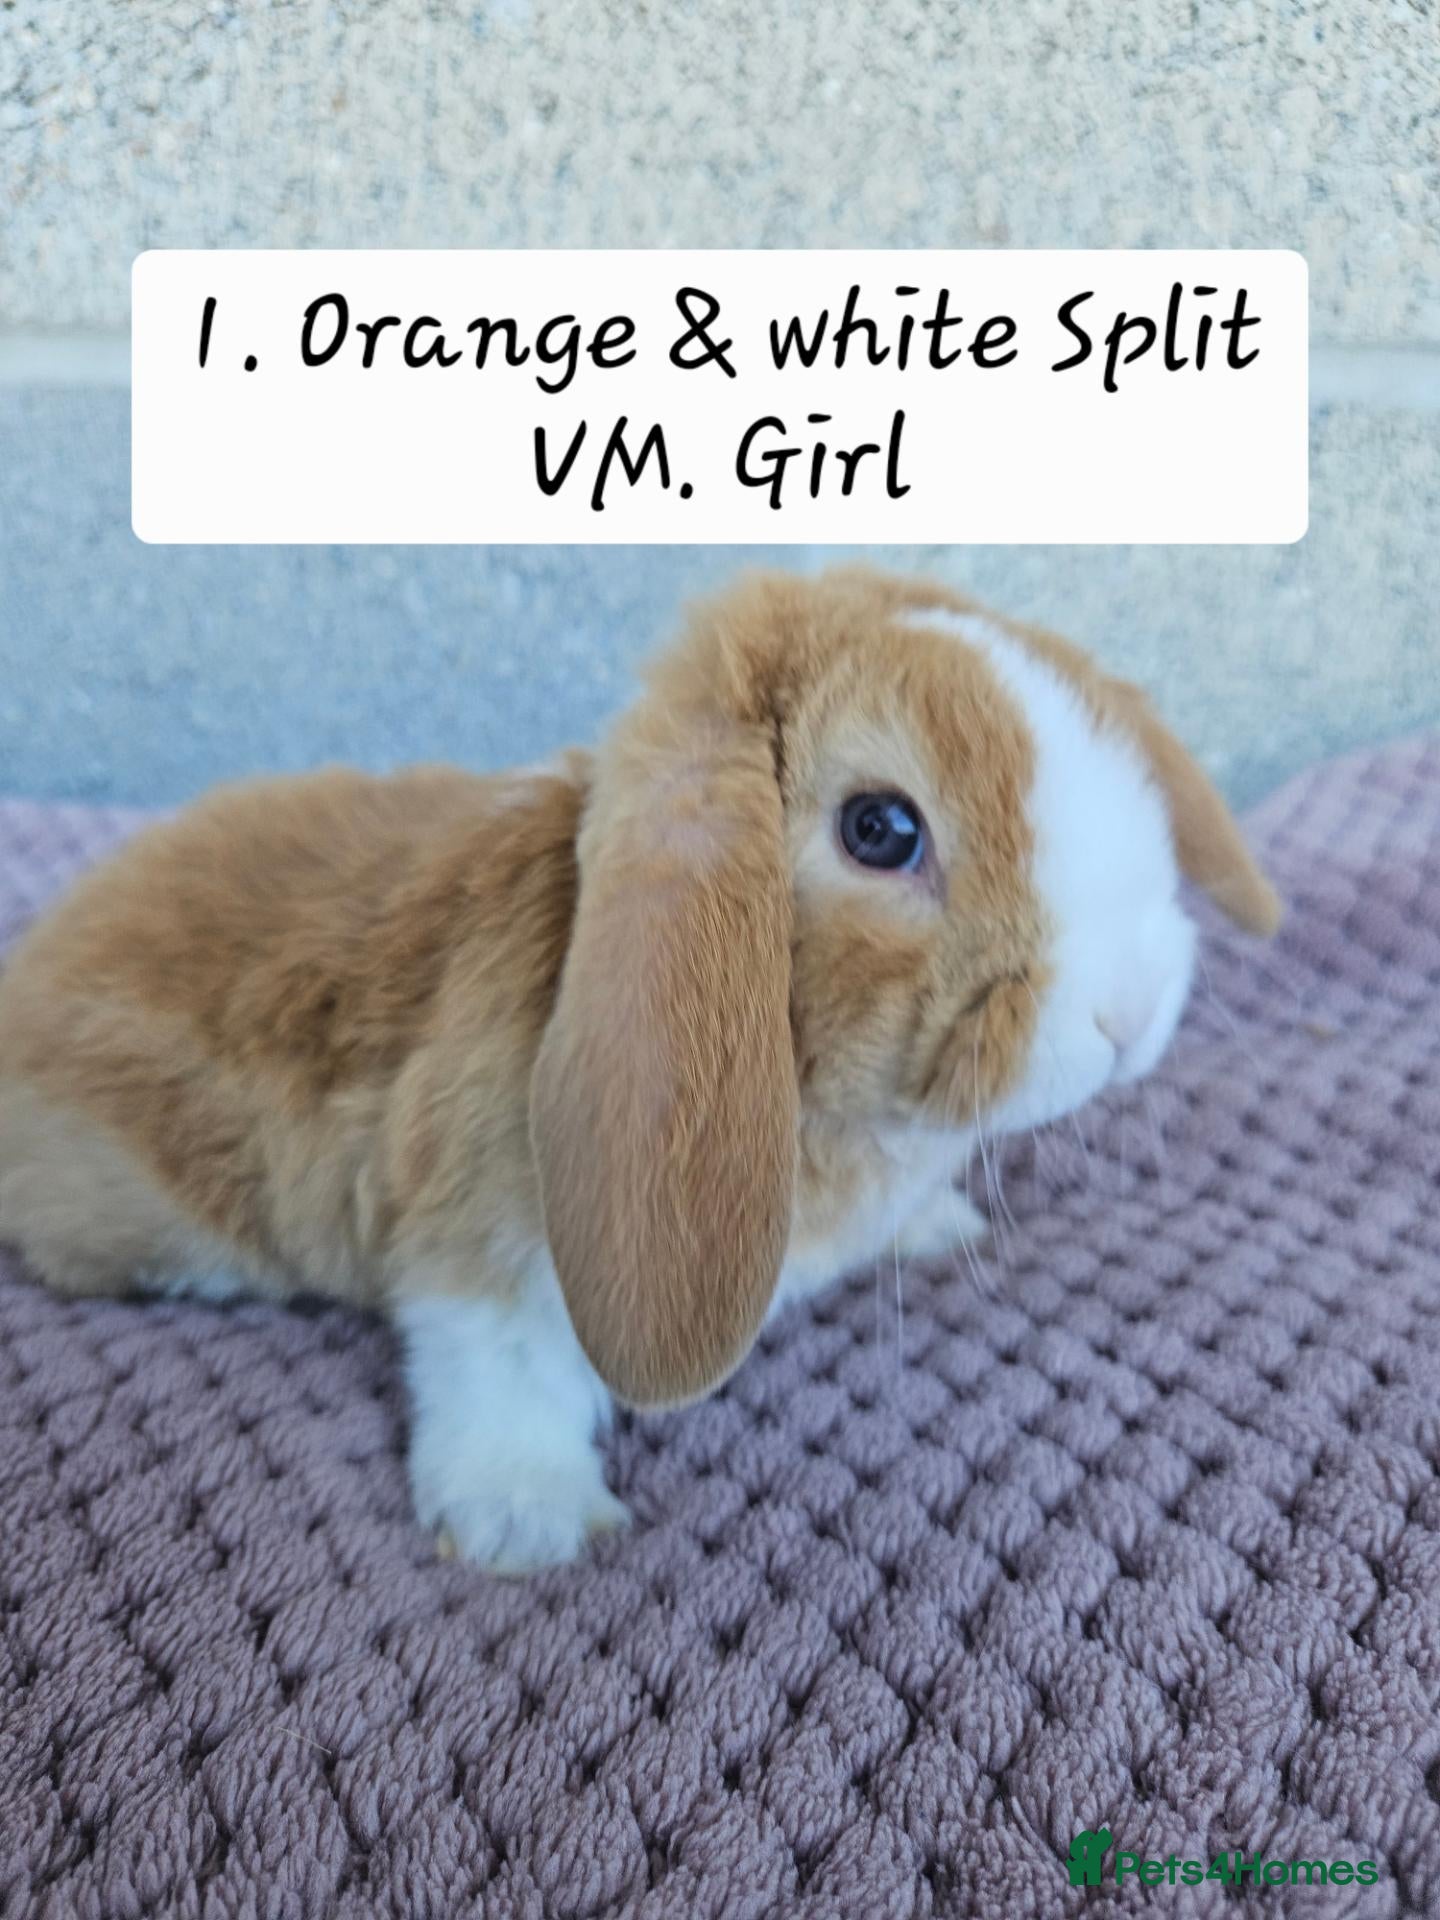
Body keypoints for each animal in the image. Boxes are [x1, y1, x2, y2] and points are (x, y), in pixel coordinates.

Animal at [0, 568, 1280, 1572]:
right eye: (881, 830)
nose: (1130, 1009)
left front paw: (936, 1223)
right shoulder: (483, 1234)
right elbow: (499, 1359)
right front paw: (526, 1525)